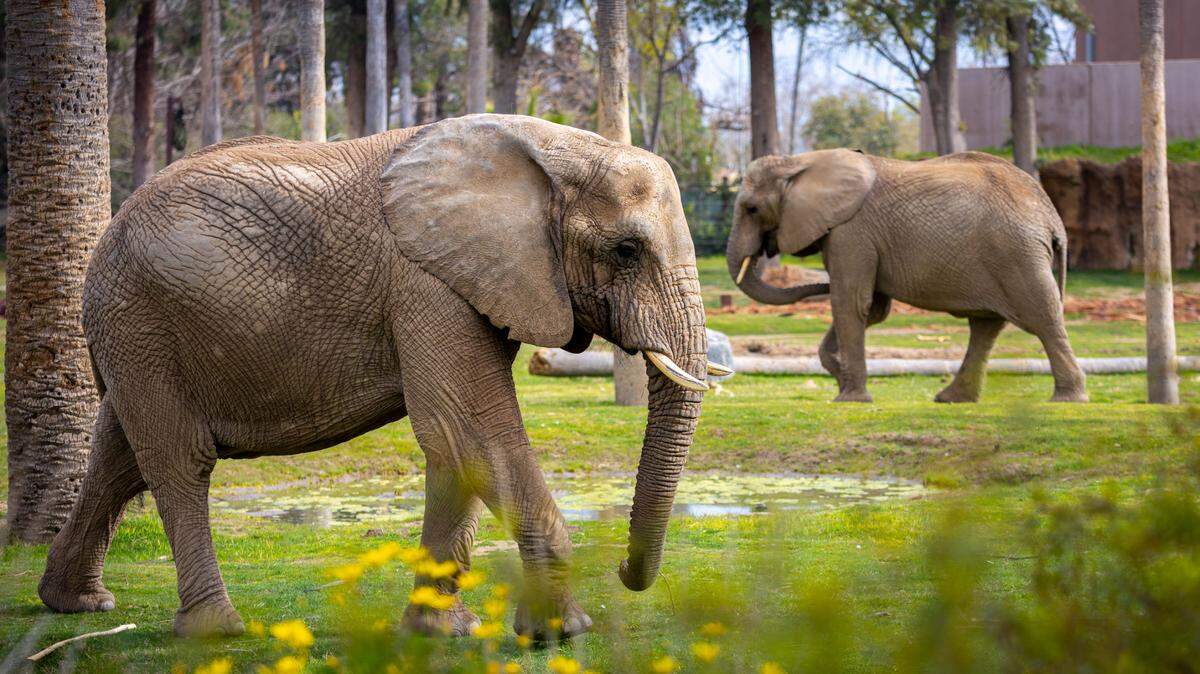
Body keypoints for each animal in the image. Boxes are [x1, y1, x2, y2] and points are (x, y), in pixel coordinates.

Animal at [39, 114, 725, 639]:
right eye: (626, 251)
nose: (627, 574)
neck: (552, 146)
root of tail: (109, 230)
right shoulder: (426, 281)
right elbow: (467, 429)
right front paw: (561, 634)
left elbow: (455, 448)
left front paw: (443, 633)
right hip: (140, 317)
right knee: (178, 462)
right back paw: (216, 631)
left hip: (134, 332)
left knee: (120, 456)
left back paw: (75, 604)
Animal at [726, 149, 1088, 404]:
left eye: (751, 209)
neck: (800, 161)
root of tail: (1051, 216)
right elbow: (872, 309)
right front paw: (842, 380)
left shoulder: (851, 233)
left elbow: (850, 303)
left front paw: (850, 398)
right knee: (986, 326)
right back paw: (952, 399)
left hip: (1017, 254)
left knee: (1042, 318)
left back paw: (1068, 399)